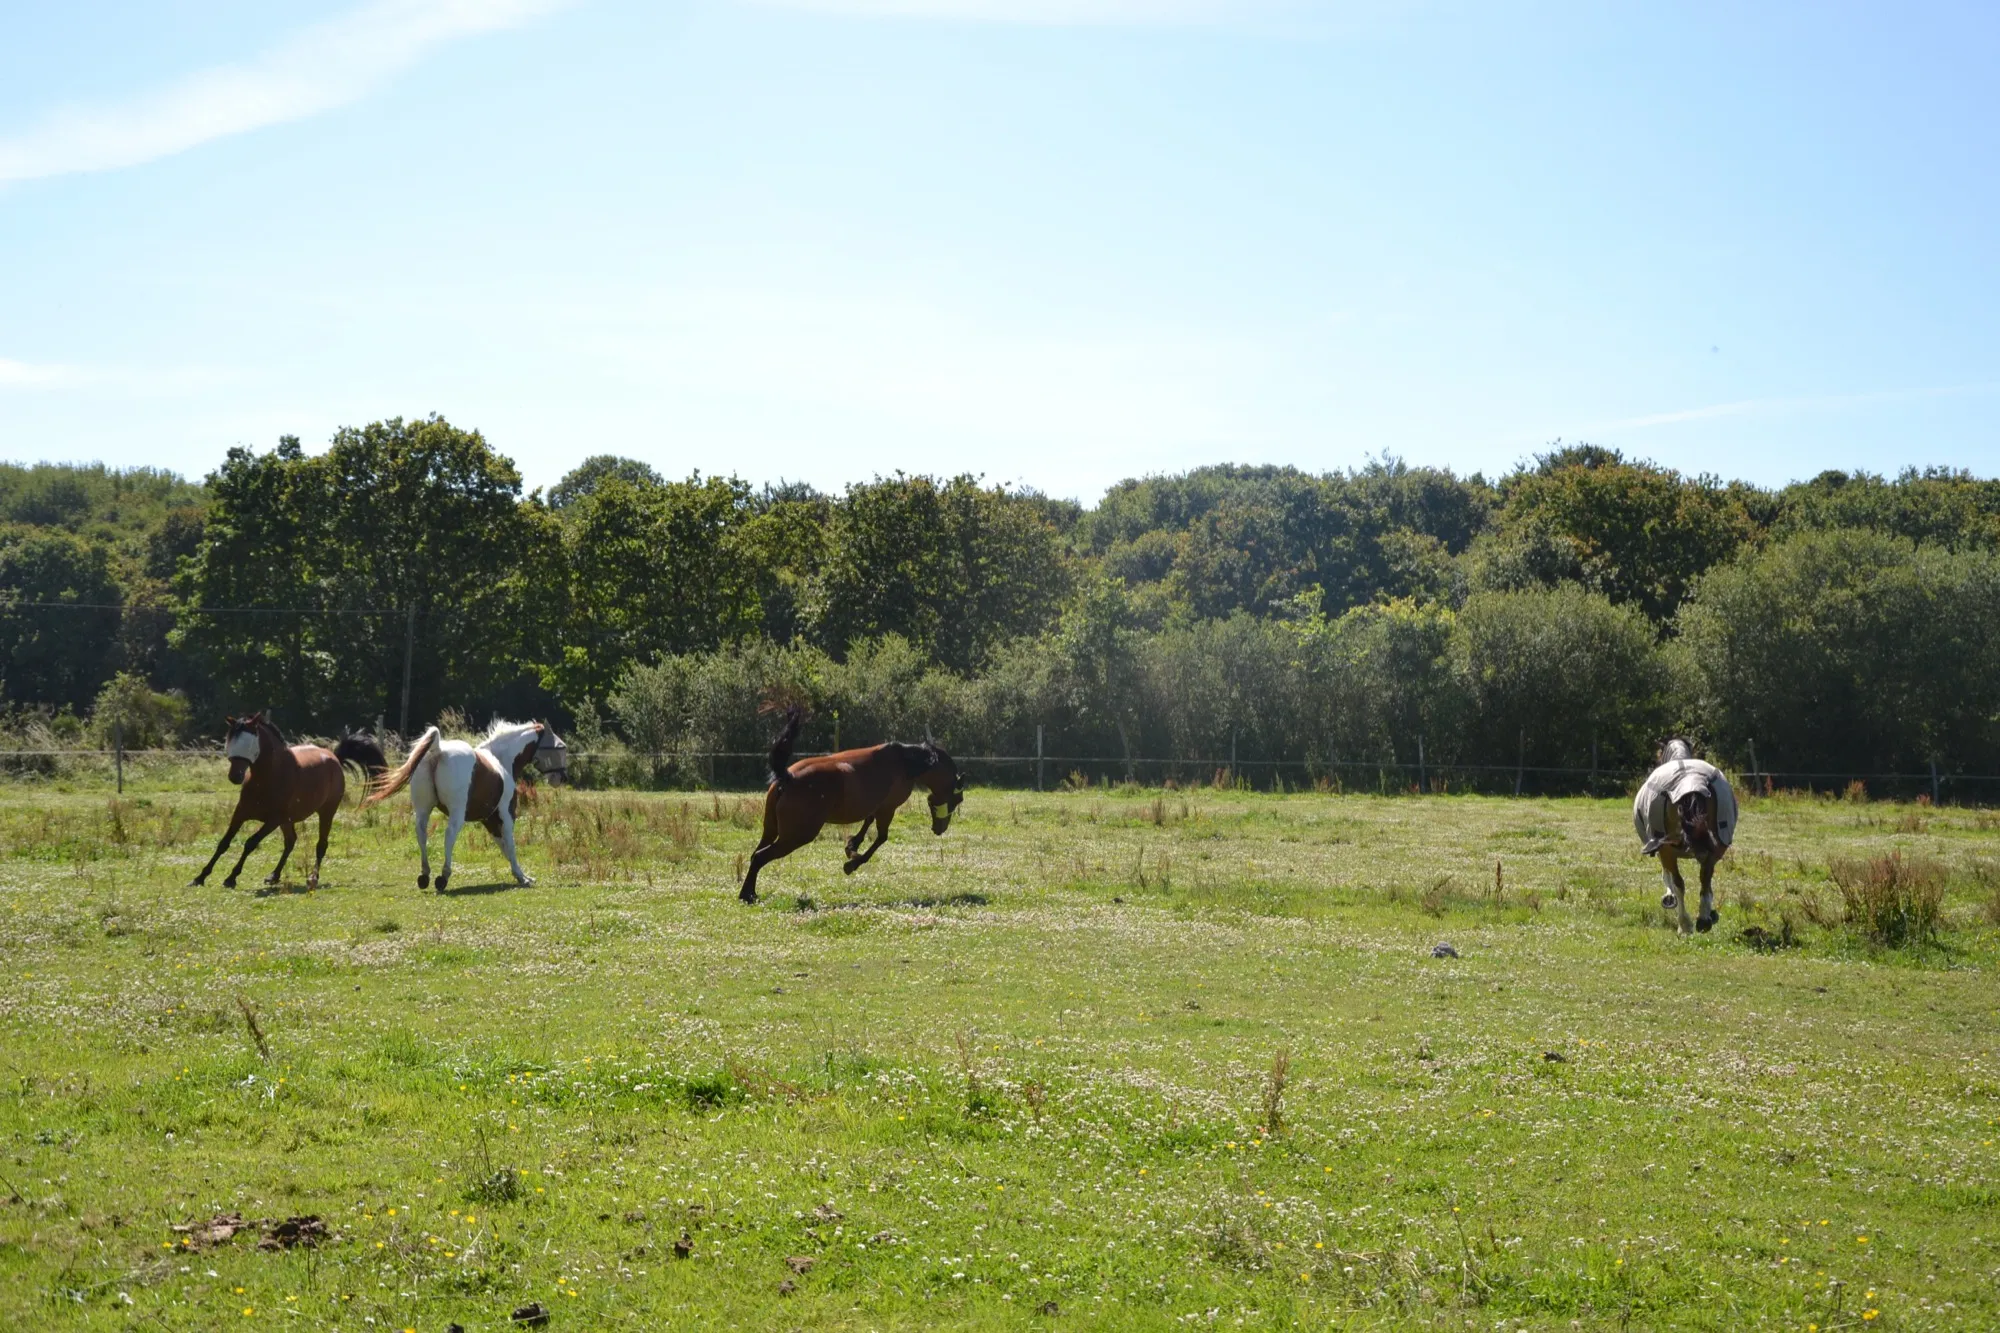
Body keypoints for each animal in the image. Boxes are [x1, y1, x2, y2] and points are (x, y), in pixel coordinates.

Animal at [190, 713, 387, 891]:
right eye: (230, 740)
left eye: (250, 743)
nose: (235, 777)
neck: (267, 777)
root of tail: (334, 758)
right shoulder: (240, 813)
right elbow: (224, 843)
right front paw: (200, 877)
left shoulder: (273, 820)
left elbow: (250, 843)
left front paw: (231, 878)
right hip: (288, 820)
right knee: (290, 842)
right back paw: (274, 876)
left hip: (326, 812)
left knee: (321, 845)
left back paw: (313, 878)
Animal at [366, 718, 562, 892]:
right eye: (559, 747)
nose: (561, 777)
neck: (501, 760)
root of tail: (438, 750)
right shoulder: (506, 815)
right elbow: (510, 846)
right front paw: (523, 878)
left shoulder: (489, 821)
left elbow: (504, 847)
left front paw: (522, 876)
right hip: (457, 813)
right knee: (449, 835)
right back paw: (443, 877)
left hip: (422, 810)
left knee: (421, 834)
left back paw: (425, 875)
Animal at [739, 707, 965, 904]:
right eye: (957, 800)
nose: (940, 829)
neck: (904, 764)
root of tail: (787, 776)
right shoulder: (887, 809)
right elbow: (881, 838)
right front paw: (852, 862)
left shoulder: (876, 807)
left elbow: (867, 824)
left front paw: (852, 846)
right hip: (796, 836)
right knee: (760, 856)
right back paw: (747, 896)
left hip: (771, 830)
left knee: (755, 855)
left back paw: (750, 892)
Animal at [1633, 737, 1739, 935]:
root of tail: (1692, 782)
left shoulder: (1663, 850)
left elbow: (1669, 878)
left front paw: (1669, 899)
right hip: (1716, 849)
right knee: (1705, 881)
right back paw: (1704, 919)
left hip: (1667, 850)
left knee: (1679, 884)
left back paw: (1684, 925)